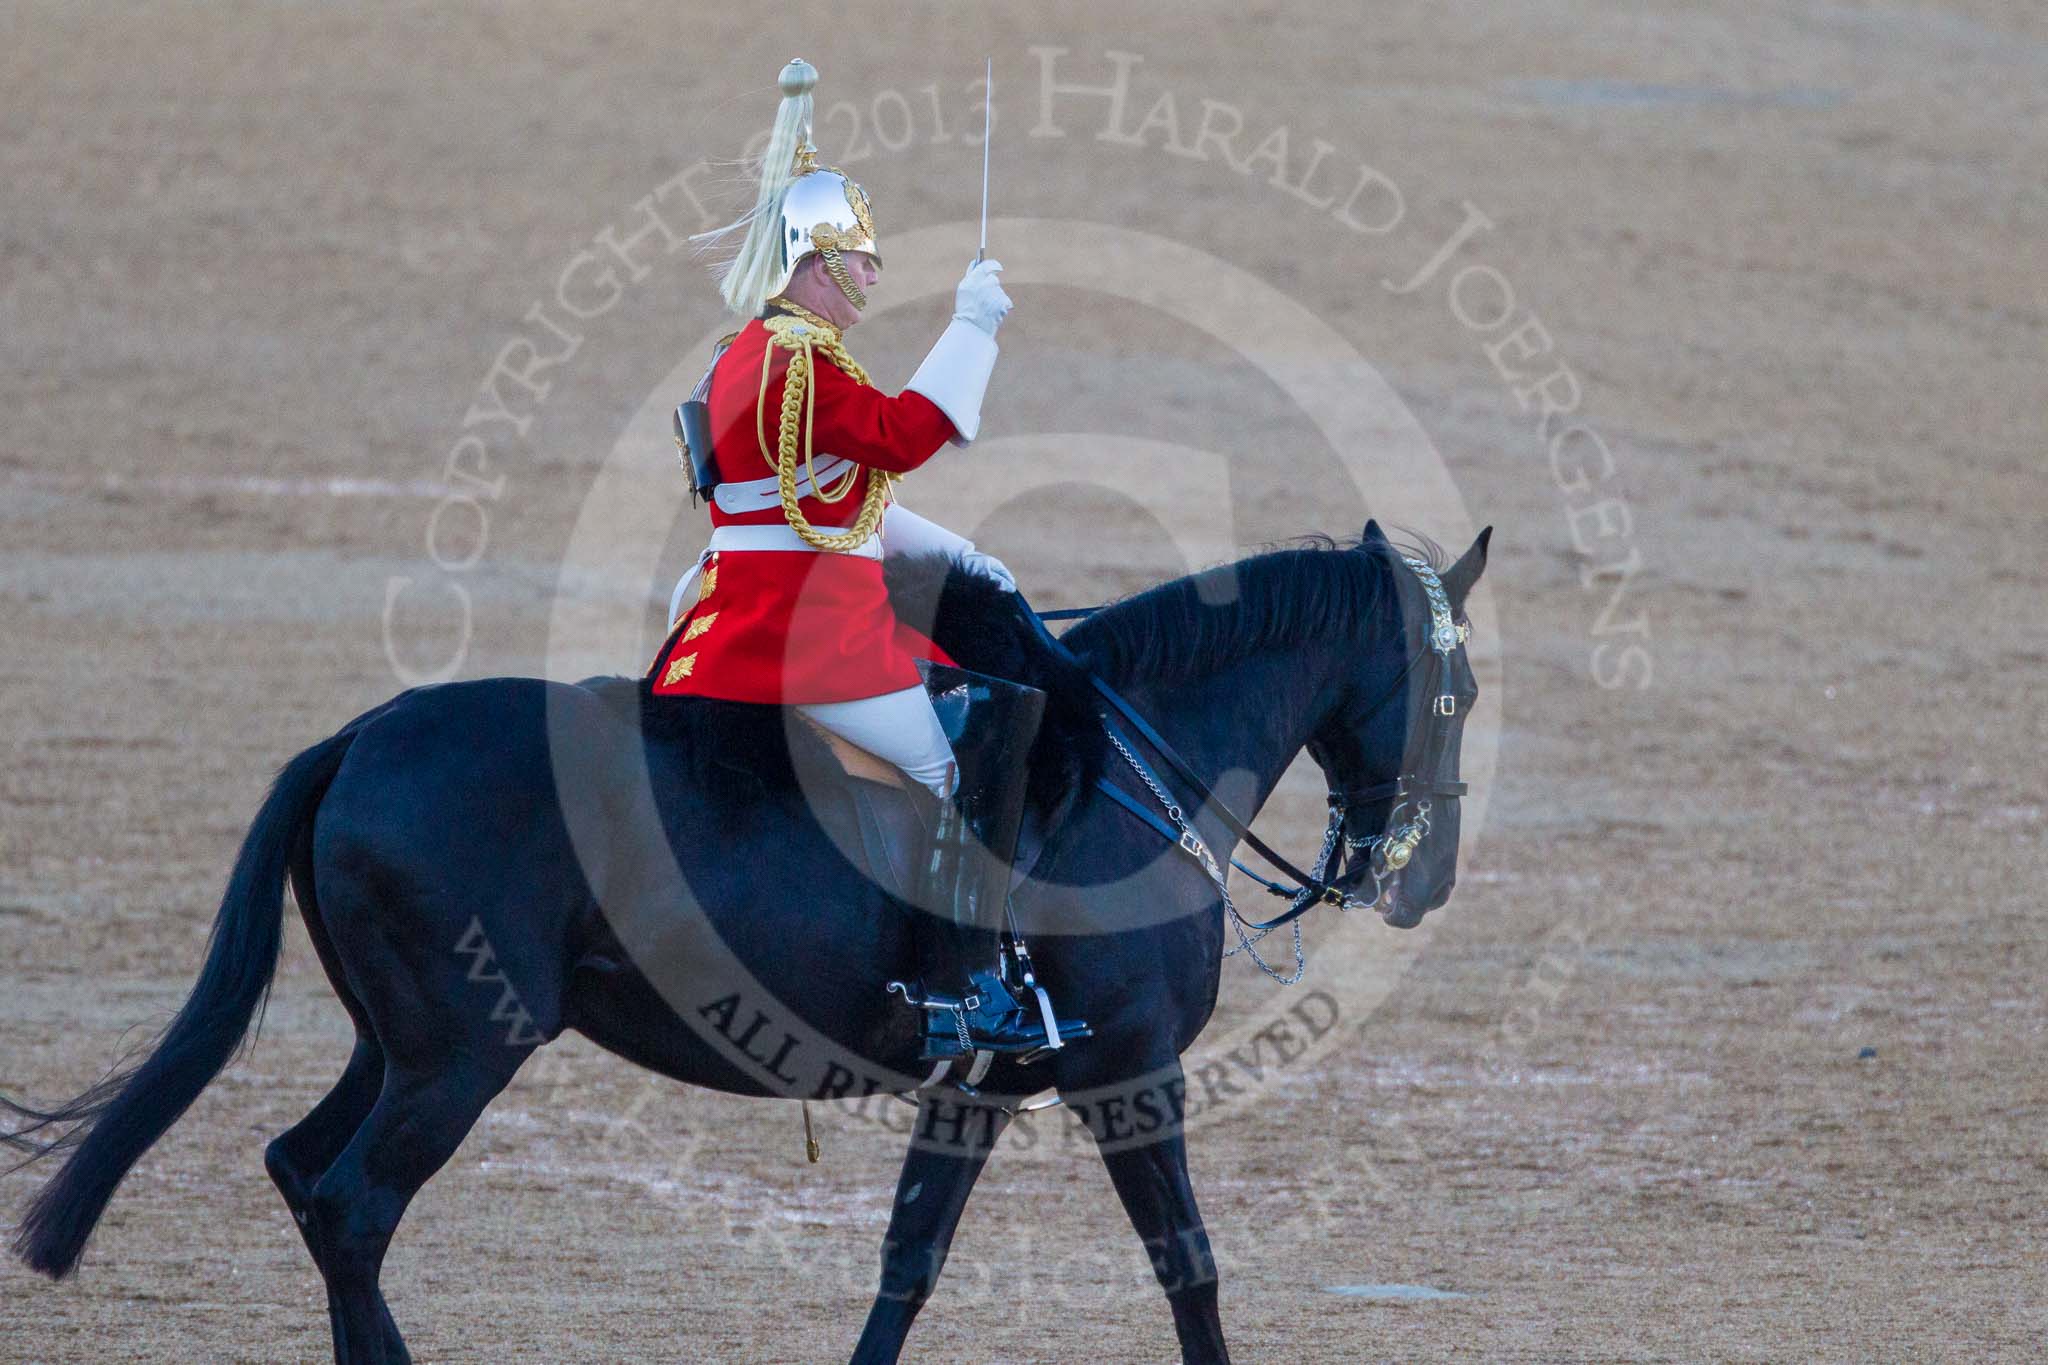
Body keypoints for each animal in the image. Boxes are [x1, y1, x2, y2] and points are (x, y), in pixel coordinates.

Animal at [3, 519, 1489, 1364]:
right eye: (1456, 686)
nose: (1422, 887)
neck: (1121, 773)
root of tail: (361, 735)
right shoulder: (1130, 1073)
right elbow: (1189, 1268)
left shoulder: (986, 1088)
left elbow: (906, 1266)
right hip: (460, 1056)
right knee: (355, 1204)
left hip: (401, 1043)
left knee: (303, 1172)